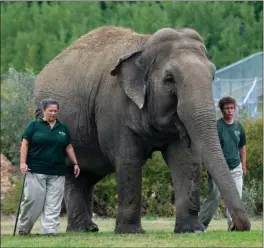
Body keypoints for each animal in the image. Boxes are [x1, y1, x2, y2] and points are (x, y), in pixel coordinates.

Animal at [34, 26, 251, 233]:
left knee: (84, 174)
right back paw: (83, 229)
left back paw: (86, 229)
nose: (239, 227)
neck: (144, 44)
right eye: (169, 79)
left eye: (213, 76)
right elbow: (128, 159)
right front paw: (130, 232)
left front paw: (192, 230)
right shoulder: (114, 107)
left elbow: (185, 160)